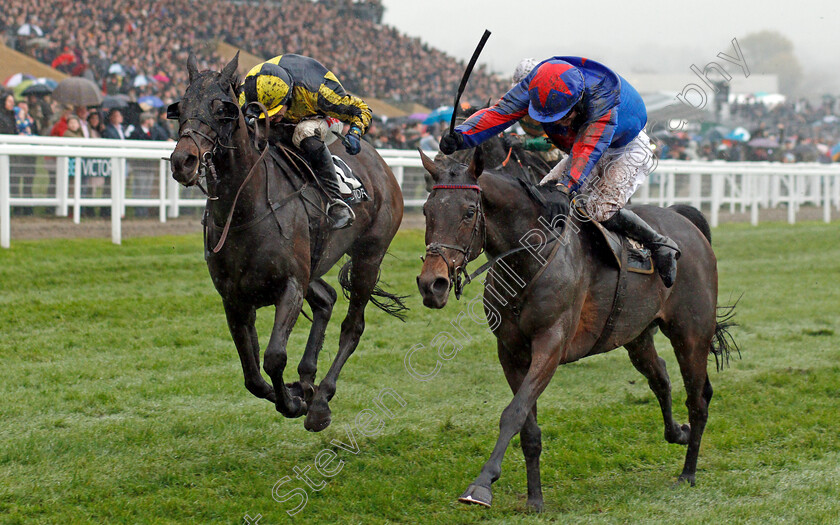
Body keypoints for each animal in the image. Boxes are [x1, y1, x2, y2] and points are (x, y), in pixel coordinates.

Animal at [167, 52, 404, 430]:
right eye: (182, 106)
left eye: (222, 110)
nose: (183, 161)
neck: (245, 210)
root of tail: (381, 163)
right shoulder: (234, 298)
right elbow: (252, 374)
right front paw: (293, 391)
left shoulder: (290, 284)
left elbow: (274, 356)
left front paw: (295, 403)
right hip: (314, 264)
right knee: (326, 298)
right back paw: (307, 378)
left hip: (370, 255)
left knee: (352, 326)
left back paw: (320, 401)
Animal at [416, 148, 736, 512]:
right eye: (427, 210)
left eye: (469, 212)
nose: (432, 284)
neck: (529, 258)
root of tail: (685, 222)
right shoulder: (510, 352)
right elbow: (528, 427)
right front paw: (535, 499)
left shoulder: (551, 344)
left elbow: (513, 413)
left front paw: (481, 485)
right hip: (636, 336)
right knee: (661, 378)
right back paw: (677, 433)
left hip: (691, 333)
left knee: (698, 400)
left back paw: (688, 473)